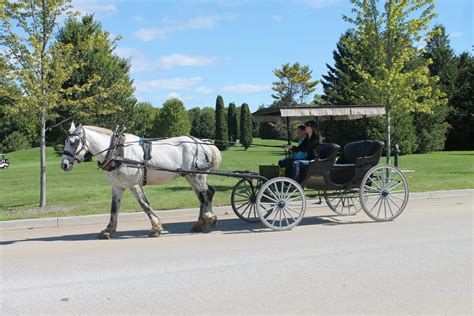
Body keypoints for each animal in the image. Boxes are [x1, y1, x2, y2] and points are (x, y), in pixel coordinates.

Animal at [60, 122, 221, 238]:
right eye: (66, 141)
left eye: (74, 142)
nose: (64, 164)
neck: (116, 151)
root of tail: (201, 142)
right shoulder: (117, 186)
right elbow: (114, 208)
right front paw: (108, 230)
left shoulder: (134, 184)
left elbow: (144, 204)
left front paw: (156, 228)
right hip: (190, 176)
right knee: (203, 195)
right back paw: (200, 223)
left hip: (196, 175)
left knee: (206, 194)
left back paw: (209, 217)